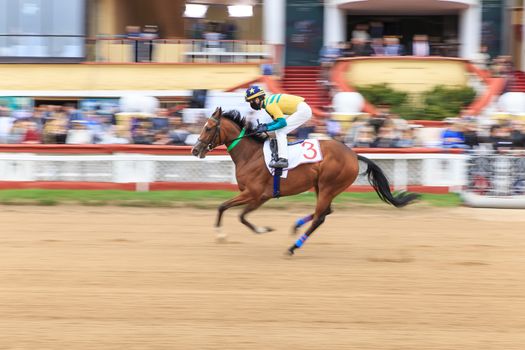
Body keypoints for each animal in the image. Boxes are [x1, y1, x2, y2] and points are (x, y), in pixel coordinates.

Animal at [190, 106, 416, 254]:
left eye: (208, 128)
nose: (194, 150)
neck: (250, 155)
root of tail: (353, 155)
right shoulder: (257, 196)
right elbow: (229, 209)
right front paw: (223, 235)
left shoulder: (255, 194)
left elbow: (237, 214)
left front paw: (258, 230)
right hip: (321, 186)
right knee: (325, 211)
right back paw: (296, 225)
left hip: (328, 185)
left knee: (319, 217)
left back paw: (293, 247)